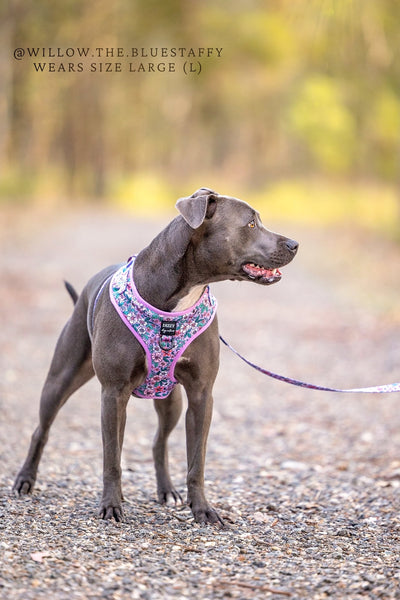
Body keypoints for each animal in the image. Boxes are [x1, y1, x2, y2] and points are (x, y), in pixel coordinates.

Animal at [13, 189, 296, 524]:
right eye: (251, 223)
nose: (294, 244)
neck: (182, 293)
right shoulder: (113, 392)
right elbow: (111, 458)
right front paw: (111, 505)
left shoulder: (201, 395)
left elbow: (196, 462)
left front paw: (202, 508)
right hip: (62, 378)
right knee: (42, 430)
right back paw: (25, 480)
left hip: (170, 401)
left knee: (158, 443)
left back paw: (167, 491)